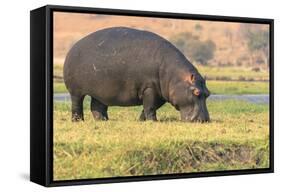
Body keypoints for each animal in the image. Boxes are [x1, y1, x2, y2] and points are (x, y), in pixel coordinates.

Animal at [62, 26, 209, 121]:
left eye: (208, 93)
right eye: (196, 92)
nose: (205, 120)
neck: (175, 76)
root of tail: (73, 47)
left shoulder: (160, 94)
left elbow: (150, 107)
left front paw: (141, 120)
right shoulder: (149, 88)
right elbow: (150, 107)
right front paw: (152, 121)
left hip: (100, 92)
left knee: (97, 106)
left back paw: (103, 120)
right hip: (76, 91)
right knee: (77, 104)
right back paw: (78, 120)